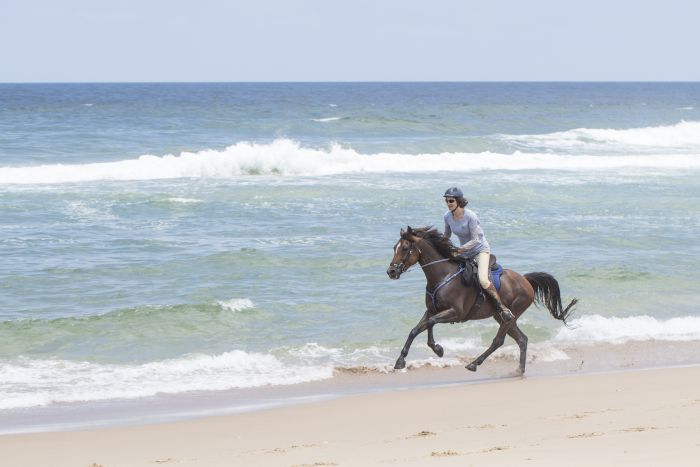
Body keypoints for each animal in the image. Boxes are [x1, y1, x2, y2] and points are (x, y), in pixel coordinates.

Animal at [386, 225, 576, 374]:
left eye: (405, 248)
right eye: (395, 247)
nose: (391, 272)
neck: (442, 276)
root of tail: (526, 280)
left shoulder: (455, 313)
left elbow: (430, 323)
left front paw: (437, 349)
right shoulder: (432, 309)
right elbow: (416, 329)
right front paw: (400, 361)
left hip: (510, 314)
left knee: (499, 340)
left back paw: (474, 363)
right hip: (500, 316)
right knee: (522, 339)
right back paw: (519, 370)